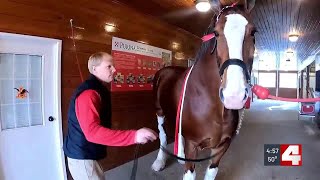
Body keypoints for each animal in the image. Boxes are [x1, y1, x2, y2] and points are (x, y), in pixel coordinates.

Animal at [151, 0, 258, 179]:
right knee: (162, 135)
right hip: (159, 112)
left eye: (253, 32)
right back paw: (159, 161)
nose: (234, 96)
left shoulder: (222, 146)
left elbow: (211, 172)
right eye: (216, 33)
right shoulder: (192, 145)